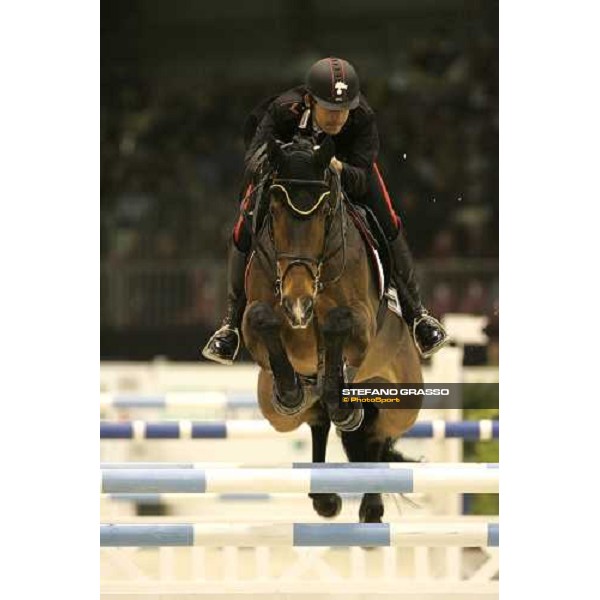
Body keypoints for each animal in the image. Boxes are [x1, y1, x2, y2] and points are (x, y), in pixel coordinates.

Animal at [240, 135, 422, 520]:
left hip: (404, 402)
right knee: (317, 420)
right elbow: (262, 318)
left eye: (324, 212)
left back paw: (370, 503)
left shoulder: (363, 324)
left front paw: (337, 388)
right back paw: (325, 496)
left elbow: (338, 324)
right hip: (272, 409)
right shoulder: (254, 323)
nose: (298, 301)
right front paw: (290, 389)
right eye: (273, 211)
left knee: (374, 434)